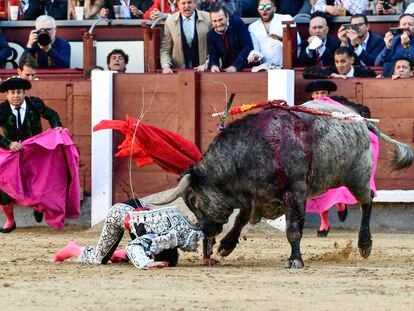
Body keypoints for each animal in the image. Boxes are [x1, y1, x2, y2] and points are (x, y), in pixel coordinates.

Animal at [154, 102, 412, 268]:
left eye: (193, 200)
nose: (203, 231)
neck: (255, 148)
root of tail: (360, 119)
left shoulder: (295, 192)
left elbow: (293, 228)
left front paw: (295, 259)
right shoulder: (256, 195)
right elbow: (241, 219)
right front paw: (226, 246)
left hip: (357, 174)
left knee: (367, 201)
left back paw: (364, 244)